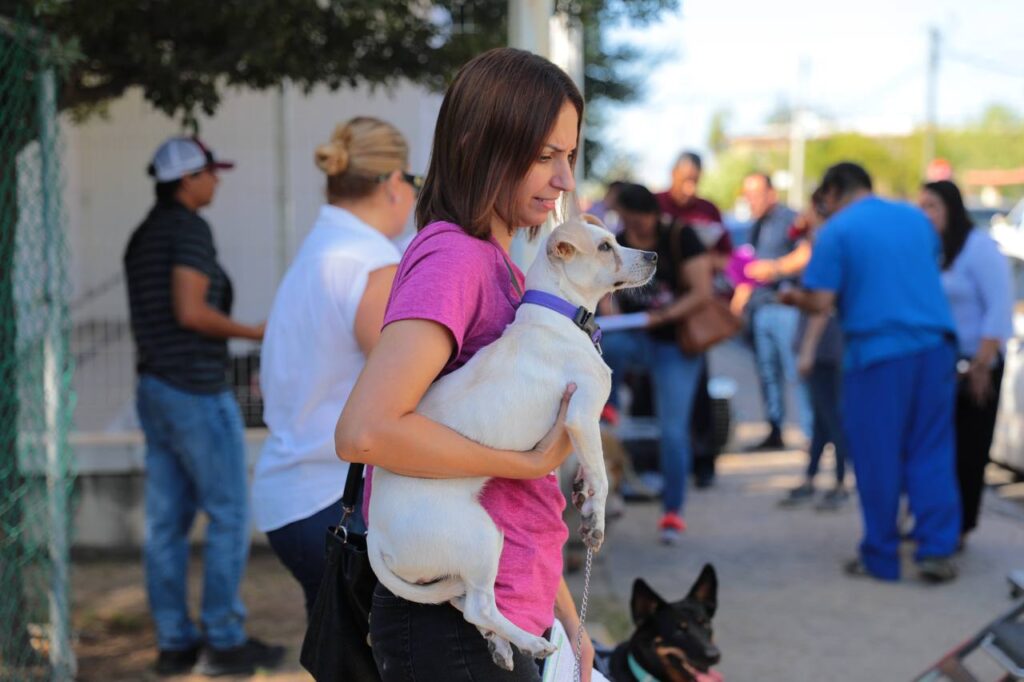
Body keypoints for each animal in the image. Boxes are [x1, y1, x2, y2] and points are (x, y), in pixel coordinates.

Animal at [366, 214, 655, 667]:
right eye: (606, 247)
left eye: (614, 240)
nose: (655, 255)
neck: (559, 313)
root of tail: (373, 535)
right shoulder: (582, 415)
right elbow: (603, 478)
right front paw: (595, 521)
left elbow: (589, 472)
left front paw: (581, 494)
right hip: (482, 536)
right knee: (477, 605)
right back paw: (529, 642)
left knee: (462, 599)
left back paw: (500, 642)